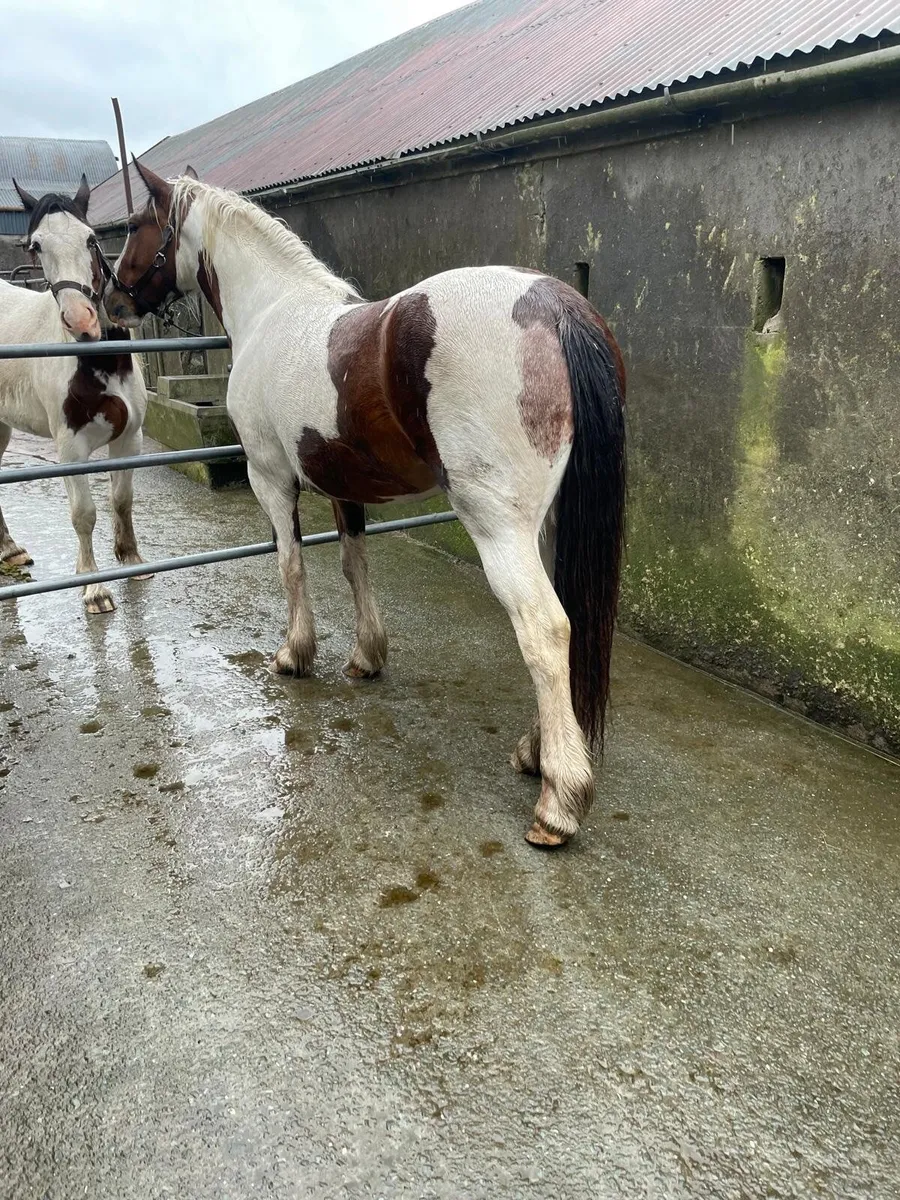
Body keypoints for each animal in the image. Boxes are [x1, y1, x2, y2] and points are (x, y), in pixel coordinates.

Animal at [0, 176, 149, 614]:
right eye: (35, 245)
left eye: (91, 238)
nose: (82, 321)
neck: (99, 363)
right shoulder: (70, 450)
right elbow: (84, 514)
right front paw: (94, 588)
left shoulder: (129, 438)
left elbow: (122, 499)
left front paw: (131, 559)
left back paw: (10, 551)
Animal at [104, 161, 626, 847]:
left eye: (139, 224)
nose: (111, 303)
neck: (274, 311)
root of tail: (557, 304)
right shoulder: (343, 487)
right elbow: (356, 567)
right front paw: (365, 657)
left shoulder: (270, 477)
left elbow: (291, 566)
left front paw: (295, 655)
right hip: (542, 525)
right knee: (567, 620)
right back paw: (535, 754)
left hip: (499, 526)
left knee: (544, 627)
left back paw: (558, 802)